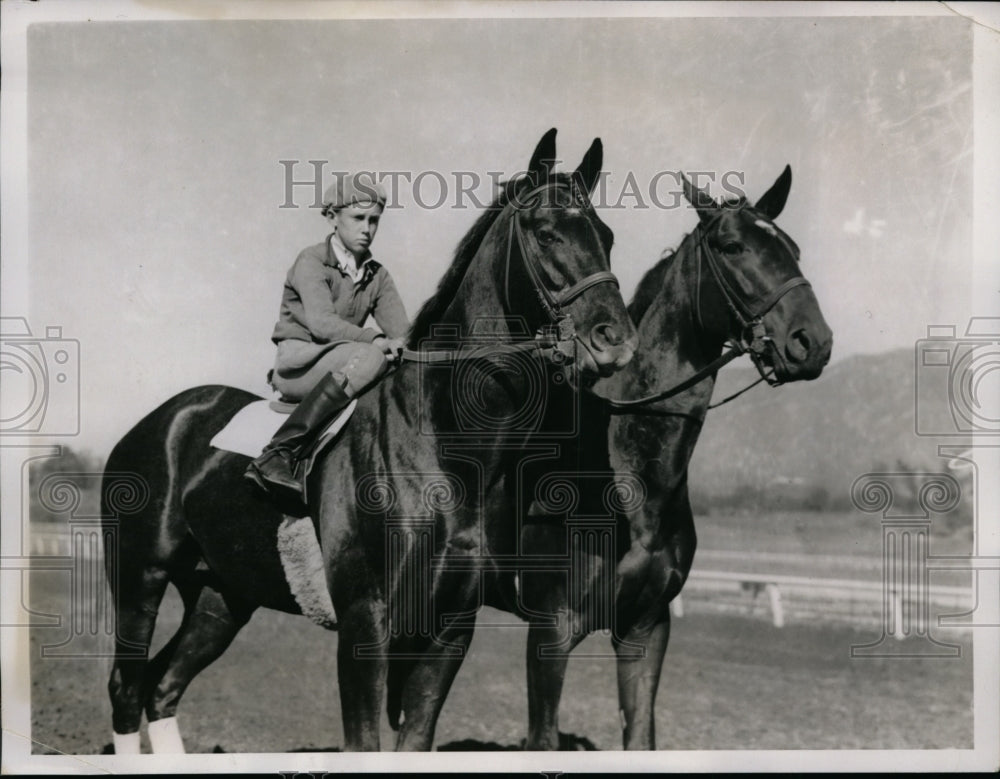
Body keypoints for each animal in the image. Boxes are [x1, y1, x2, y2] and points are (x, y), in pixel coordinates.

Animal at [97, 131, 636, 752]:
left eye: (607, 236)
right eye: (547, 232)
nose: (616, 342)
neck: (444, 450)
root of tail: (161, 420)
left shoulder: (450, 628)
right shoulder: (364, 621)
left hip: (222, 593)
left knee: (163, 686)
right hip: (140, 577)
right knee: (127, 687)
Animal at [508, 166, 836, 748]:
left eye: (792, 249)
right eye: (732, 246)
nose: (812, 342)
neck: (626, 477)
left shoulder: (645, 626)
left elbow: (640, 736)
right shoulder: (551, 630)